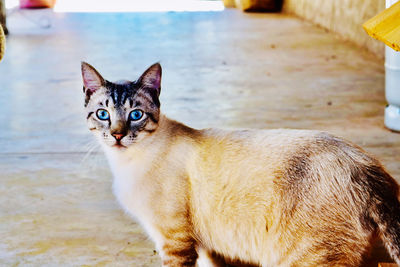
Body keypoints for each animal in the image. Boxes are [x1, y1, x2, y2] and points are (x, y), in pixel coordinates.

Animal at [80, 61, 400, 266]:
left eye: (135, 115)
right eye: (103, 114)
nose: (118, 135)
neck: (125, 163)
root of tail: (368, 169)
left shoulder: (174, 242)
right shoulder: (205, 246)